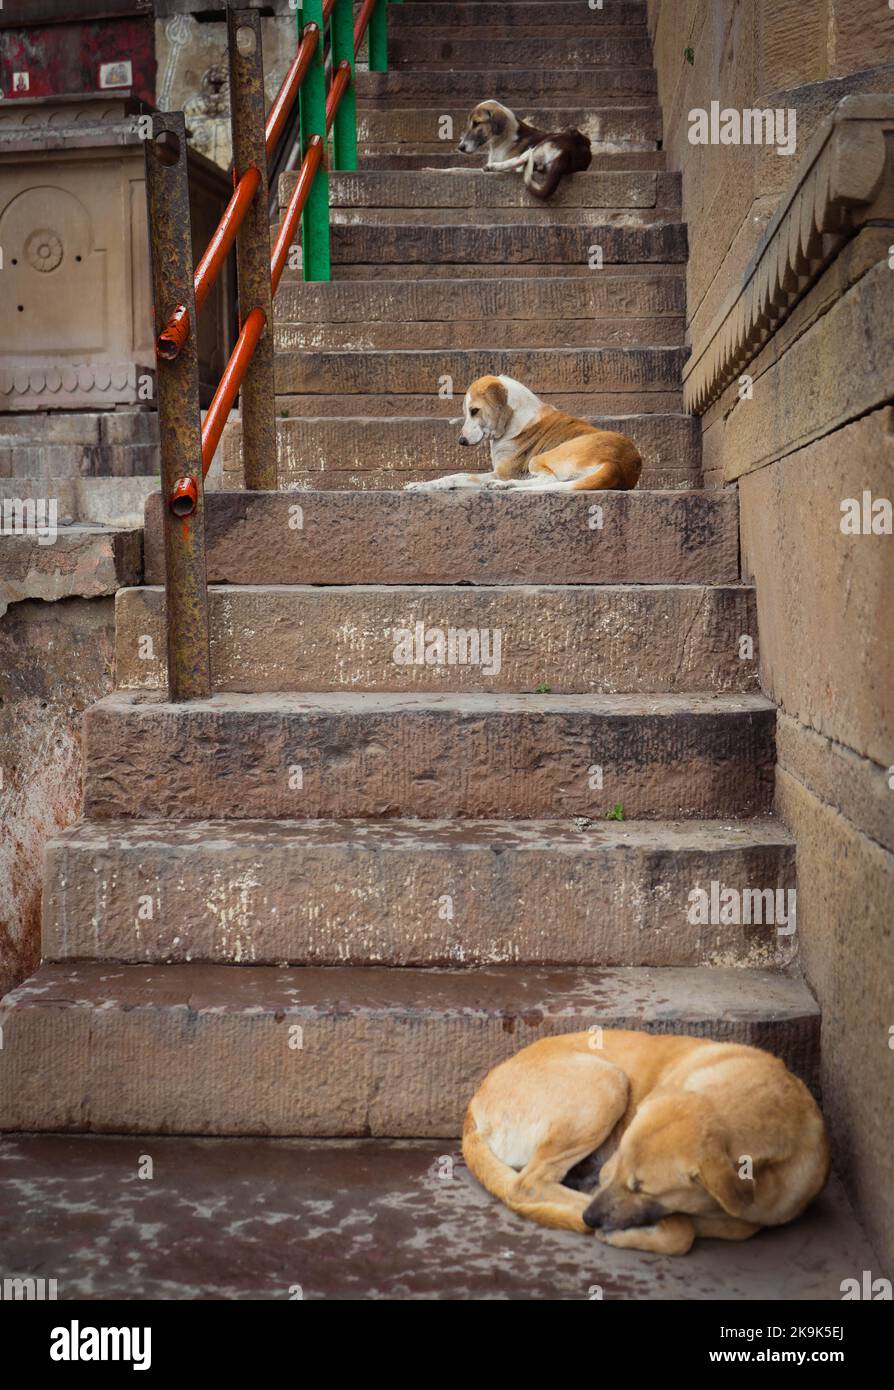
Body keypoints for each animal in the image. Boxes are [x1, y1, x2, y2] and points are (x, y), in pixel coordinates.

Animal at [405, 375, 642, 494]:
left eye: (474, 411)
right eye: (466, 412)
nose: (461, 441)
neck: (513, 419)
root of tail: (621, 465)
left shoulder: (501, 472)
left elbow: (455, 476)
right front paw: (419, 484)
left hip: (541, 457)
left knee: (548, 479)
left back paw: (504, 486)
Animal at [458, 101, 592, 200]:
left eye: (476, 124)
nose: (460, 148)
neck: (502, 139)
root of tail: (568, 153)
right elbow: (466, 169)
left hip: (542, 144)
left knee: (519, 160)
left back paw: (493, 166)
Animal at [461, 1028, 834, 1256]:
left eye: (642, 1188)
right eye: (618, 1173)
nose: (591, 1219)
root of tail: (474, 1106)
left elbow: (738, 1227)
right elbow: (682, 1233)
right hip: (609, 1082)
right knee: (527, 1185)